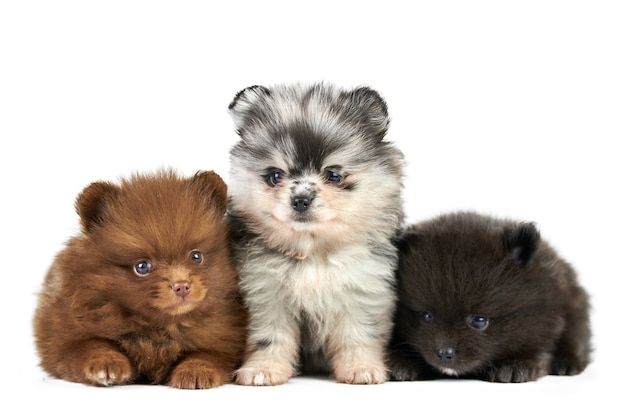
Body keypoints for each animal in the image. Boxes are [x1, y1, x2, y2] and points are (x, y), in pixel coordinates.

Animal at [32, 167, 246, 388]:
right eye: (142, 267)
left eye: (196, 256)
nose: (181, 285)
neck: (160, 326)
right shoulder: (67, 338)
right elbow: (93, 346)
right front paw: (106, 364)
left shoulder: (223, 341)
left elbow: (207, 355)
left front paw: (196, 371)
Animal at [224, 82, 404, 384]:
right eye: (275, 176)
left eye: (333, 175)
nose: (300, 200)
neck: (313, 253)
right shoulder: (266, 293)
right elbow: (269, 336)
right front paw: (264, 369)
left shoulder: (362, 289)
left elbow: (357, 335)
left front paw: (360, 368)